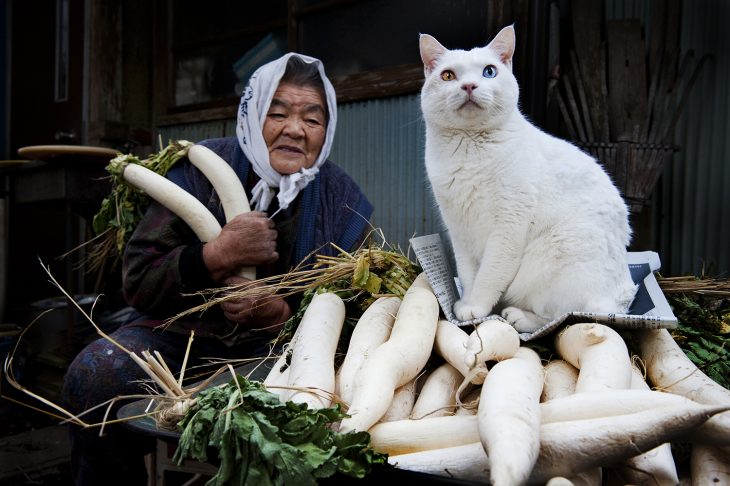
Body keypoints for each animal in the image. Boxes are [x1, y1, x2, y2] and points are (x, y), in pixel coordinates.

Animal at [418, 24, 636, 332]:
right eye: (448, 75)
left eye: (489, 71)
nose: (469, 86)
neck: (470, 151)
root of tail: (623, 300)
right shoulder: (459, 231)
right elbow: (469, 274)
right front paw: (468, 305)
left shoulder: (508, 227)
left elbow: (489, 274)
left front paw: (476, 306)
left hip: (555, 259)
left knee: (564, 315)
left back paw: (518, 316)